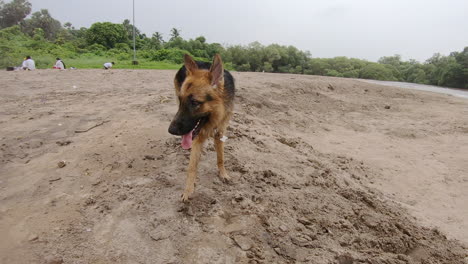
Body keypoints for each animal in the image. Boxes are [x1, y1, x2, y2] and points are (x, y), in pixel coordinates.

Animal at [168, 54, 236, 201]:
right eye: (181, 100)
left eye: (194, 102)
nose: (171, 130)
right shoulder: (197, 137)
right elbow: (192, 167)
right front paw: (188, 190)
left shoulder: (220, 133)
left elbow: (221, 157)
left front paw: (223, 173)